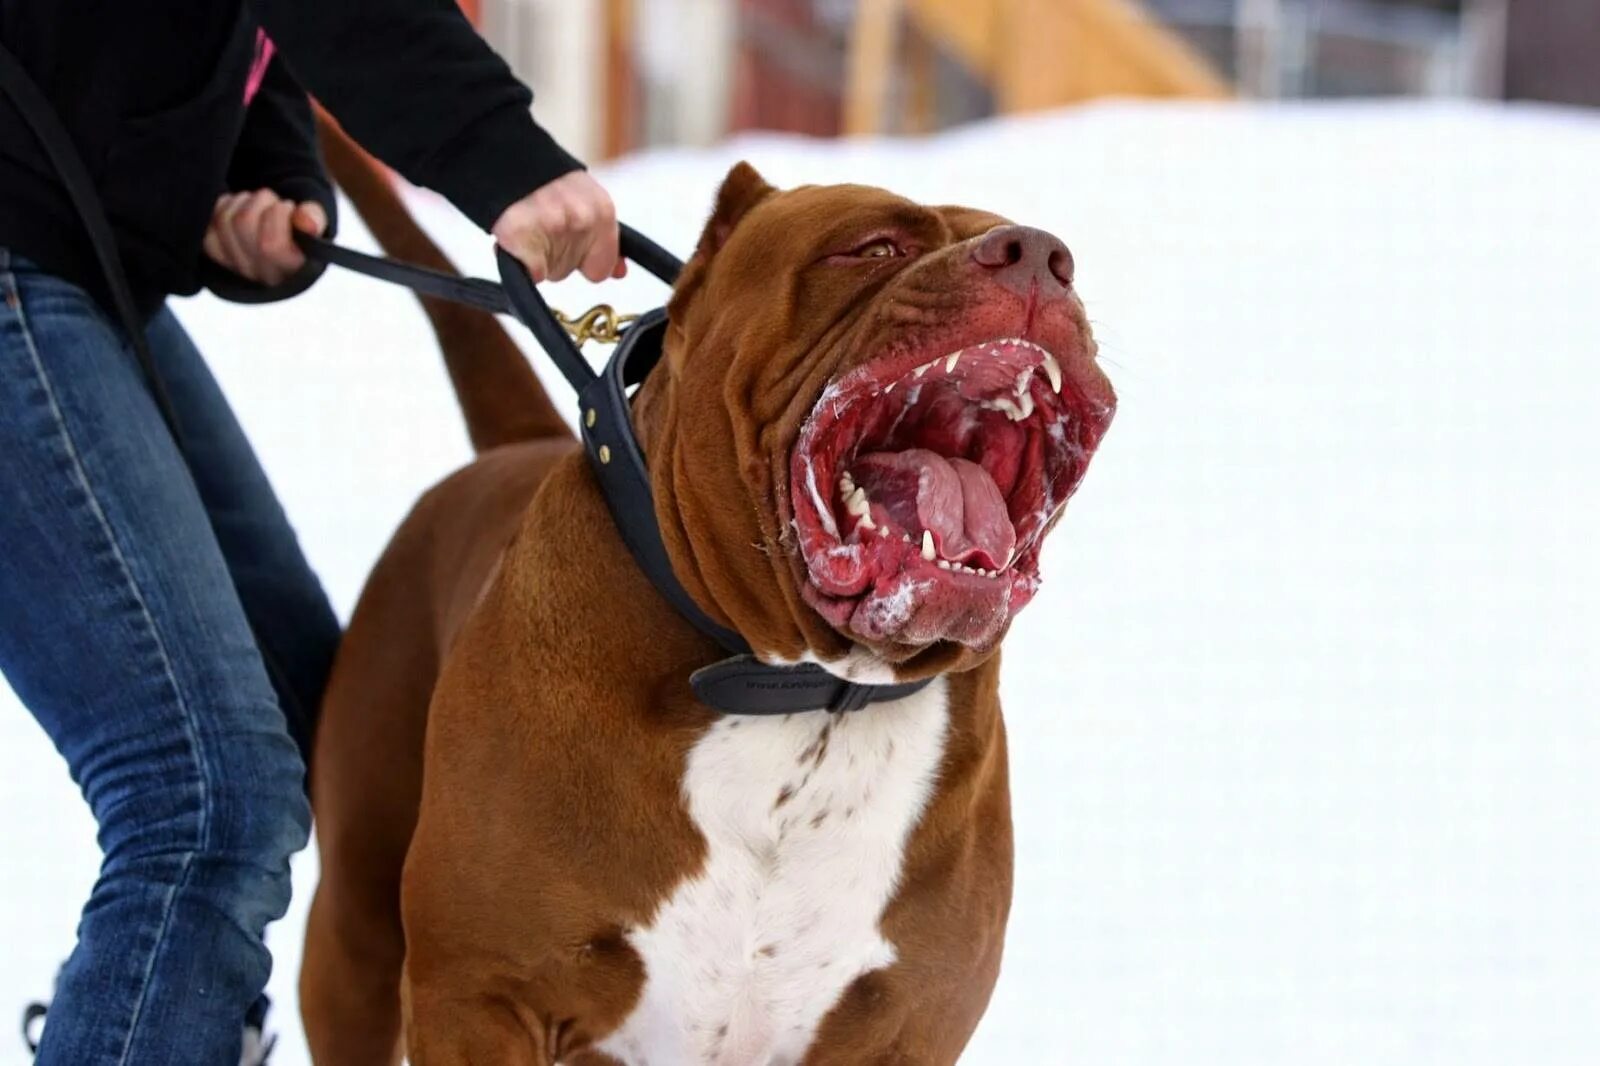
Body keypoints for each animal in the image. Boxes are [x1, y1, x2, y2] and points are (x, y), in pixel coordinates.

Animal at [302, 122, 1113, 1062]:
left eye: (1068, 267)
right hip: (352, 937)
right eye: (871, 248)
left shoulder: (902, 1032)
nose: (1038, 256)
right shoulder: (481, 994)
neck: (801, 696)